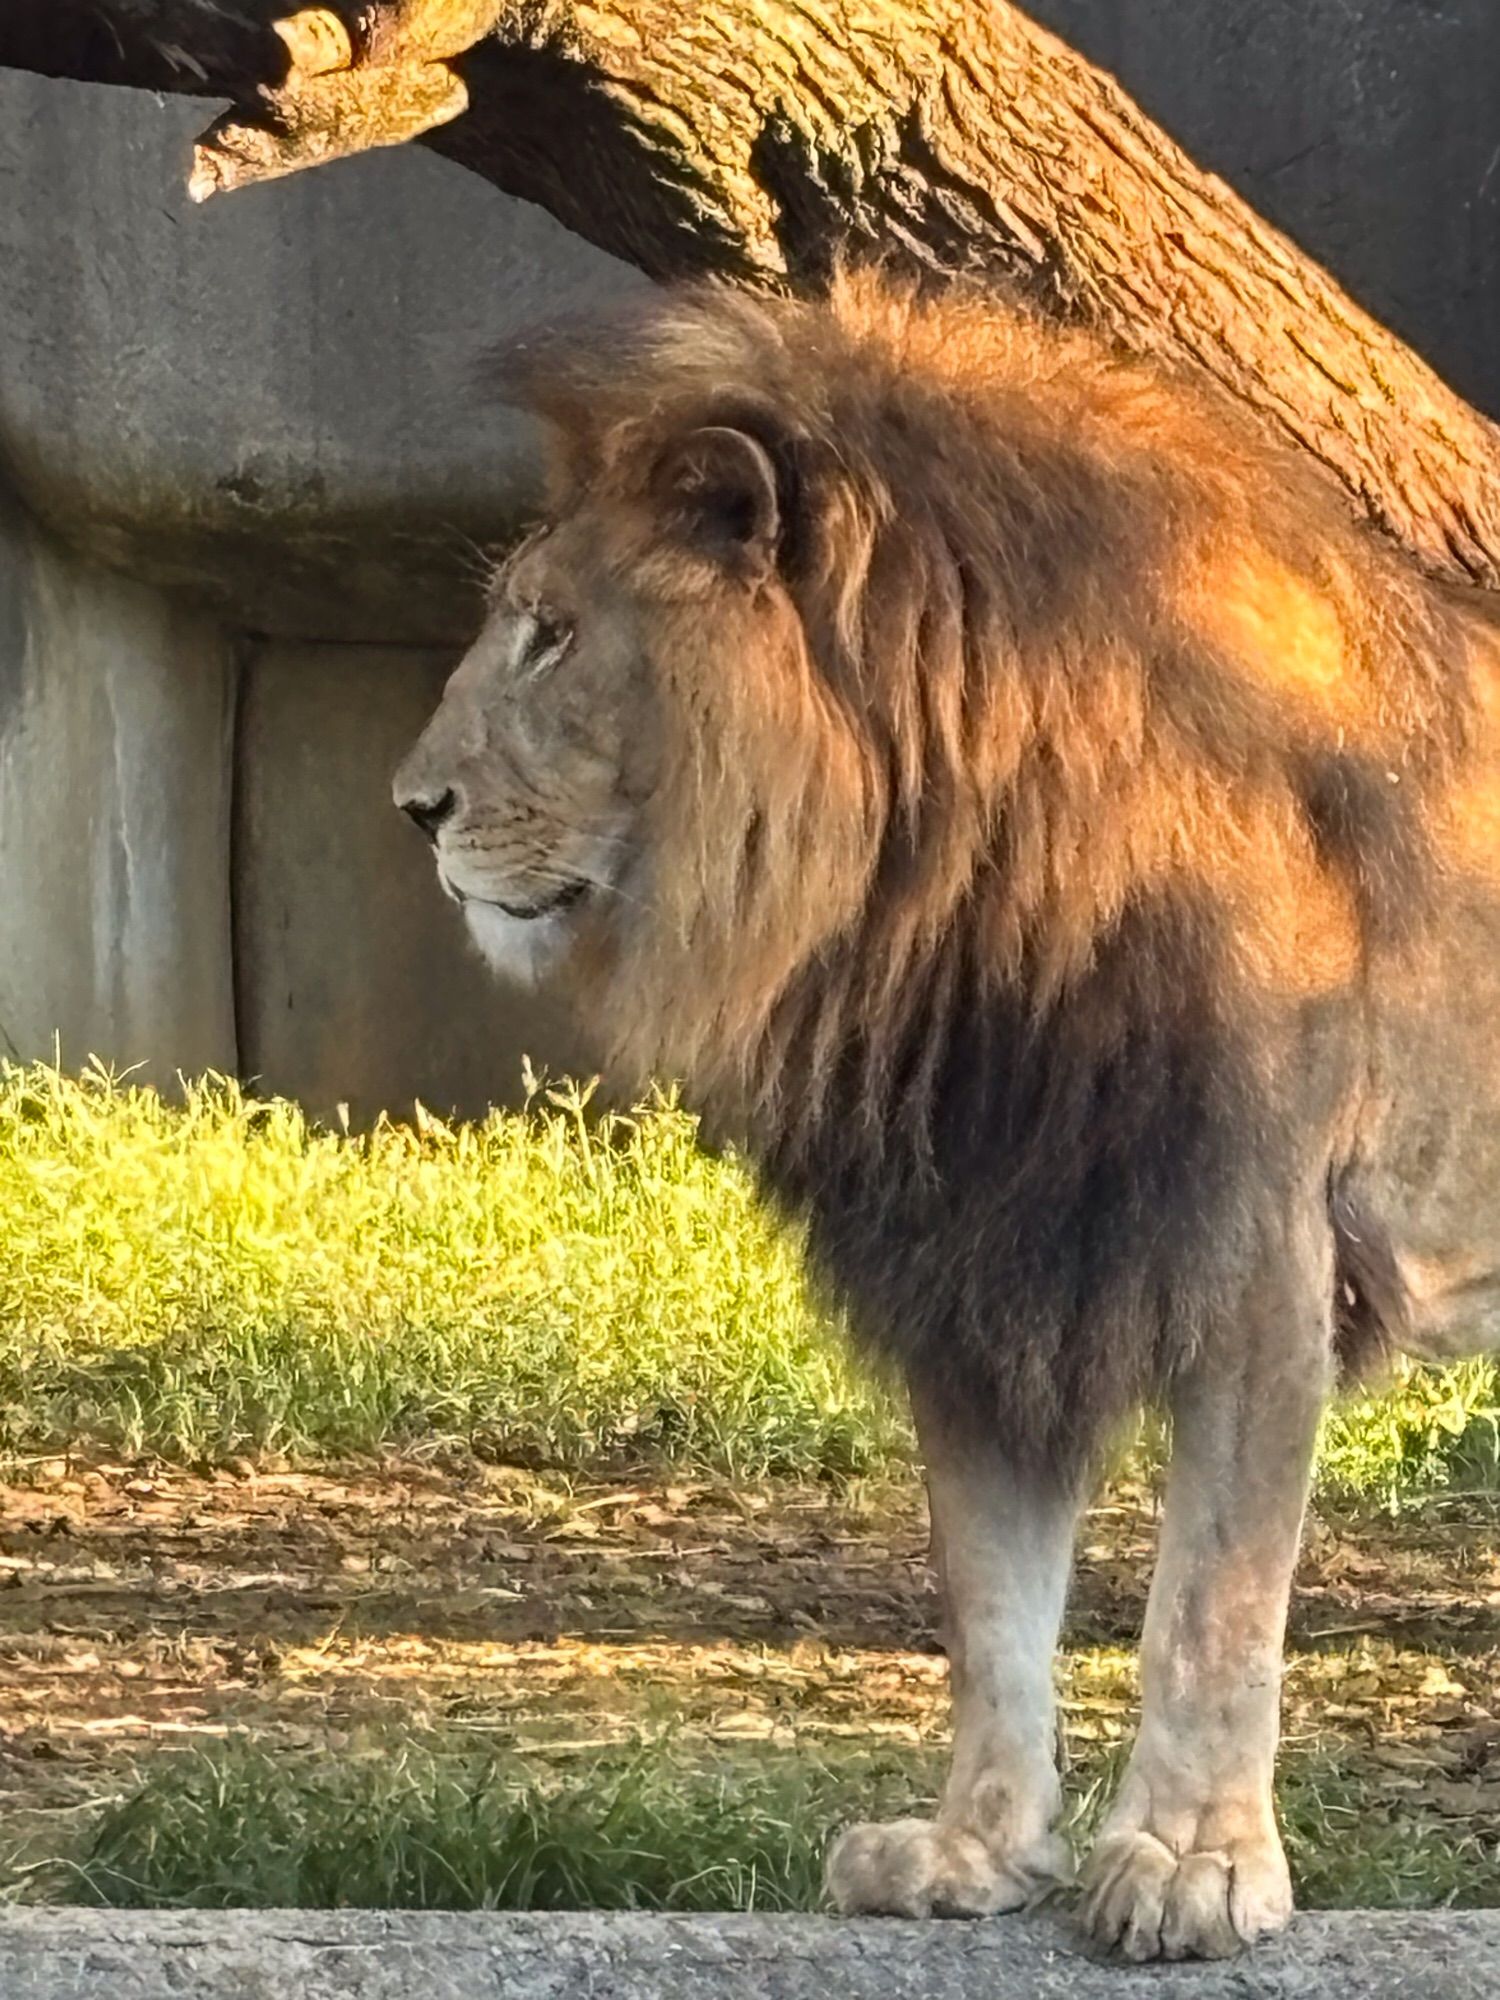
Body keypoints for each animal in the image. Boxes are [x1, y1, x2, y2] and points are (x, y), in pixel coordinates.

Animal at [394, 262, 1500, 1952]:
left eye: (553, 637)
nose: (414, 807)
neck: (948, 884)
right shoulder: (980, 1262)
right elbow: (991, 1604)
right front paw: (973, 1852)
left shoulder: (1253, 1252)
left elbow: (1210, 1603)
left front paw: (1190, 1865)